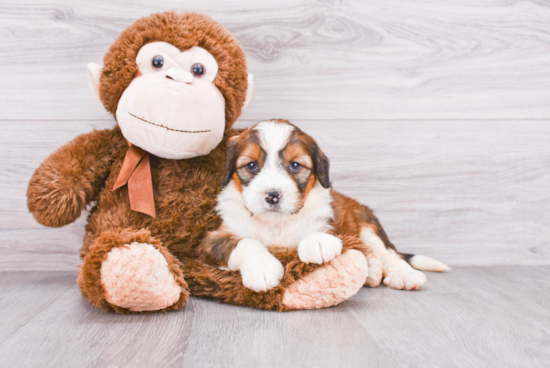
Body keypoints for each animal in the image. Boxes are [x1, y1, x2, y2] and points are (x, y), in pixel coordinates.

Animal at [201, 121, 450, 294]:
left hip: (366, 224)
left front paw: (317, 242)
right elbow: (244, 242)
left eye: (295, 165)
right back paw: (372, 271)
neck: (277, 224)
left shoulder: (334, 221)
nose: (272, 196)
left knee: (389, 253)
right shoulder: (212, 240)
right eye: (252, 166)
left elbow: (323, 231)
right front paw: (261, 268)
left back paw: (403, 275)